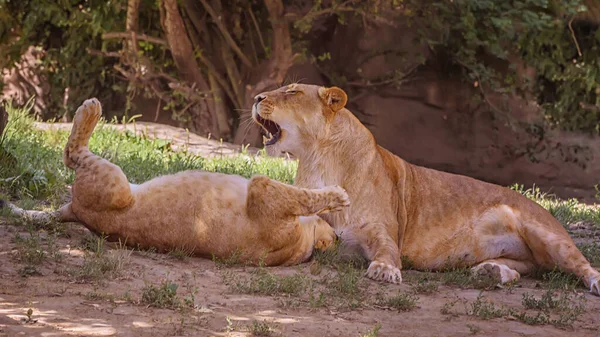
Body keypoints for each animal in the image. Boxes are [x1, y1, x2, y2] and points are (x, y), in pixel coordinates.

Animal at [1, 97, 352, 266]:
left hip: (113, 183)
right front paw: (336, 196)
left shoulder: (261, 190)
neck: (303, 244)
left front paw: (339, 195)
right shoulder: (265, 193)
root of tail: (74, 210)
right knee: (71, 155)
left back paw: (90, 109)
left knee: (72, 154)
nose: (335, 235)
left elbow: (304, 194)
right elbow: (303, 192)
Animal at [252, 82, 600, 296]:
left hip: (547, 235)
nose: (256, 98)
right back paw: (490, 271)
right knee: (522, 271)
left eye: (292, 91)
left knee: (583, 265)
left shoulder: (383, 229)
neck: (317, 160)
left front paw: (385, 270)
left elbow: (387, 249)